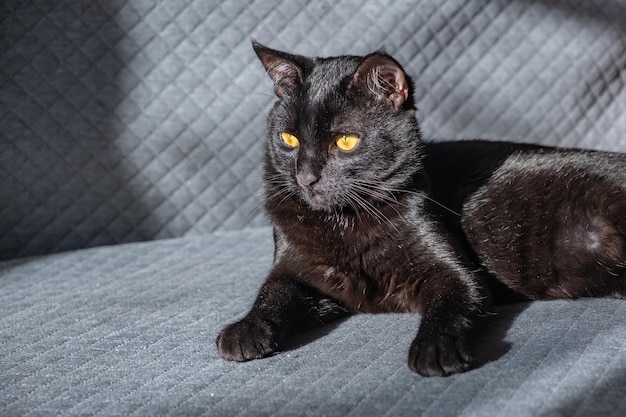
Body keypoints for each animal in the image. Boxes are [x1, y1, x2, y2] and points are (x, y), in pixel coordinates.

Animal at [216, 40, 624, 376]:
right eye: (288, 139)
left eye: (345, 141)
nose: (305, 178)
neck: (345, 222)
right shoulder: (298, 271)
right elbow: (273, 293)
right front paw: (245, 329)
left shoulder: (455, 274)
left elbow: (451, 304)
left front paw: (434, 350)